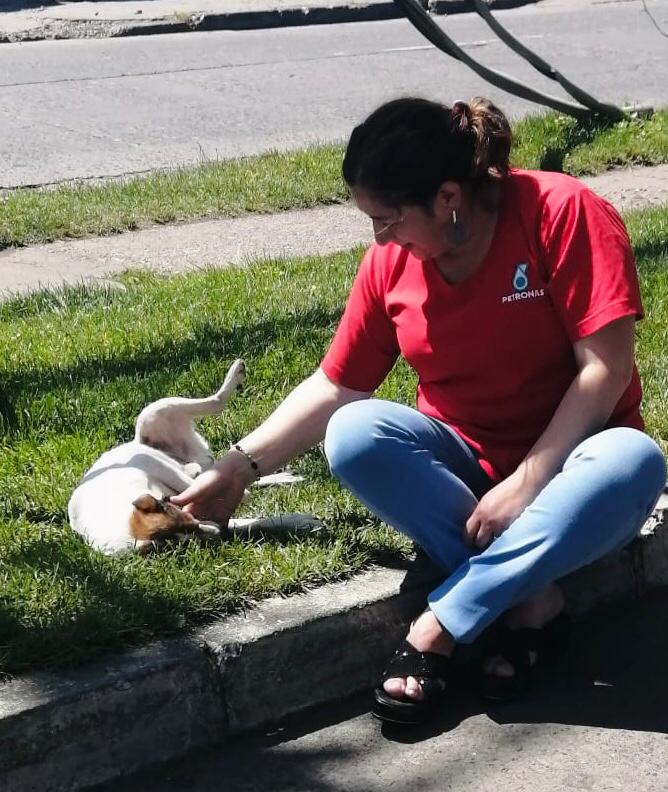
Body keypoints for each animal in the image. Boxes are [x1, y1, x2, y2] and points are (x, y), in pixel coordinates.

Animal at [68, 356, 318, 552]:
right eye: (190, 541)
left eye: (191, 522)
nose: (218, 533)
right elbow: (247, 520)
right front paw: (295, 520)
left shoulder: (149, 463)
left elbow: (187, 482)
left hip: (153, 413)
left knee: (215, 405)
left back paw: (233, 378)